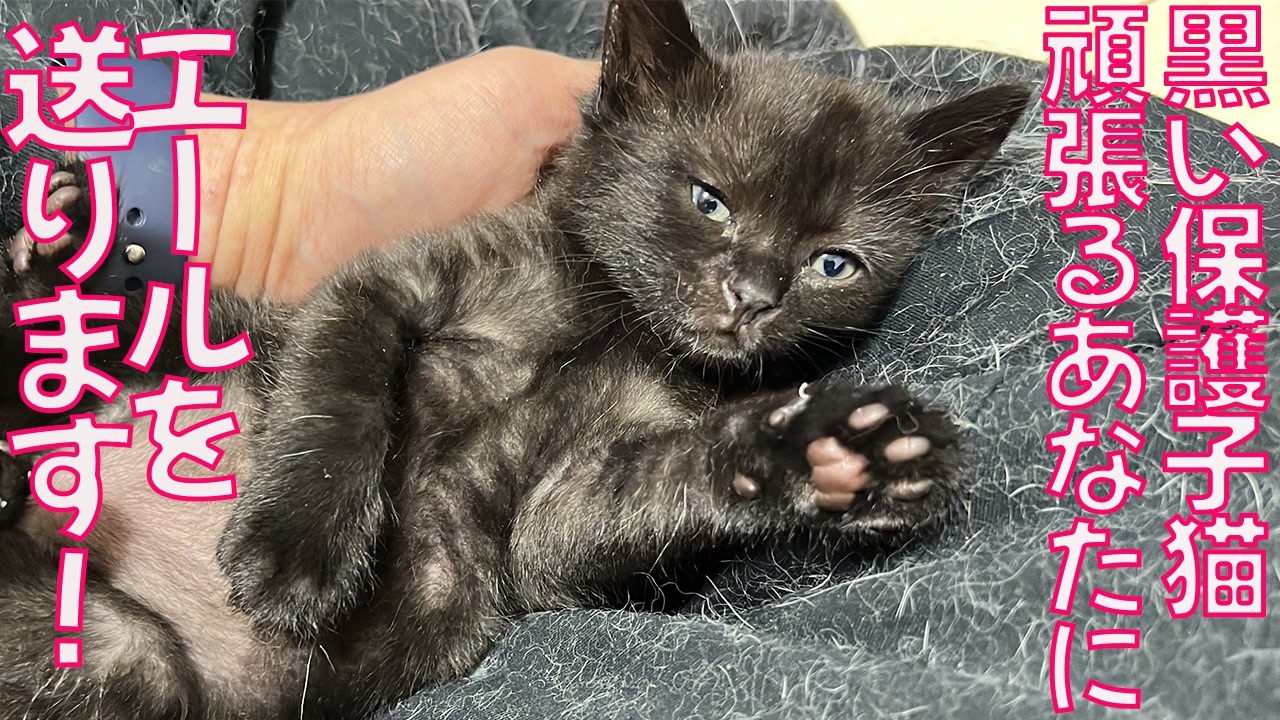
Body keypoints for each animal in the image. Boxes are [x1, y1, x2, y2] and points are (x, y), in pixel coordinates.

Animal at [0, 1, 1031, 718]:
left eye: (833, 263)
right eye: (710, 201)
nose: (753, 296)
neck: (618, 323)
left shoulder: (554, 528)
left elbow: (657, 483)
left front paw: (834, 451)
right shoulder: (383, 284)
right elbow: (340, 398)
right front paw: (297, 554)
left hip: (129, 661)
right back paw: (57, 260)